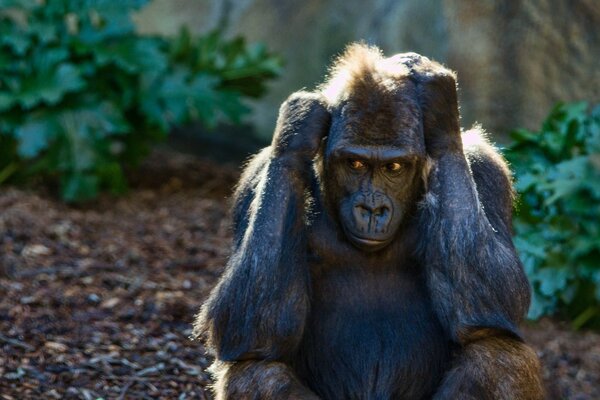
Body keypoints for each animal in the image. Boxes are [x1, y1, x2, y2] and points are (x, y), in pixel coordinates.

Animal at [193, 43, 544, 400]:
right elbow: (247, 328)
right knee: (258, 372)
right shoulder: (258, 174)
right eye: (355, 163)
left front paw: (441, 110)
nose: (372, 209)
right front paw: (296, 128)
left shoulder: (484, 167)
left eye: (394, 168)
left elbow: (501, 296)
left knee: (497, 354)